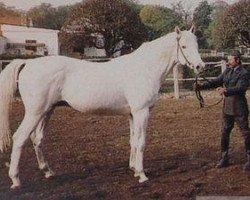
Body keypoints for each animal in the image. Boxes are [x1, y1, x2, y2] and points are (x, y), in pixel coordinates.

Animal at [0, 25, 204, 188]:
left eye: (197, 45)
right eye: (183, 46)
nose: (200, 66)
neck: (144, 69)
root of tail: (28, 63)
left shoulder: (132, 114)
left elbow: (132, 141)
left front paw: (133, 169)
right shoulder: (142, 112)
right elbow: (141, 142)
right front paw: (142, 175)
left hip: (46, 111)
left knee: (37, 138)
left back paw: (48, 171)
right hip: (35, 112)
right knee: (20, 138)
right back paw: (16, 180)